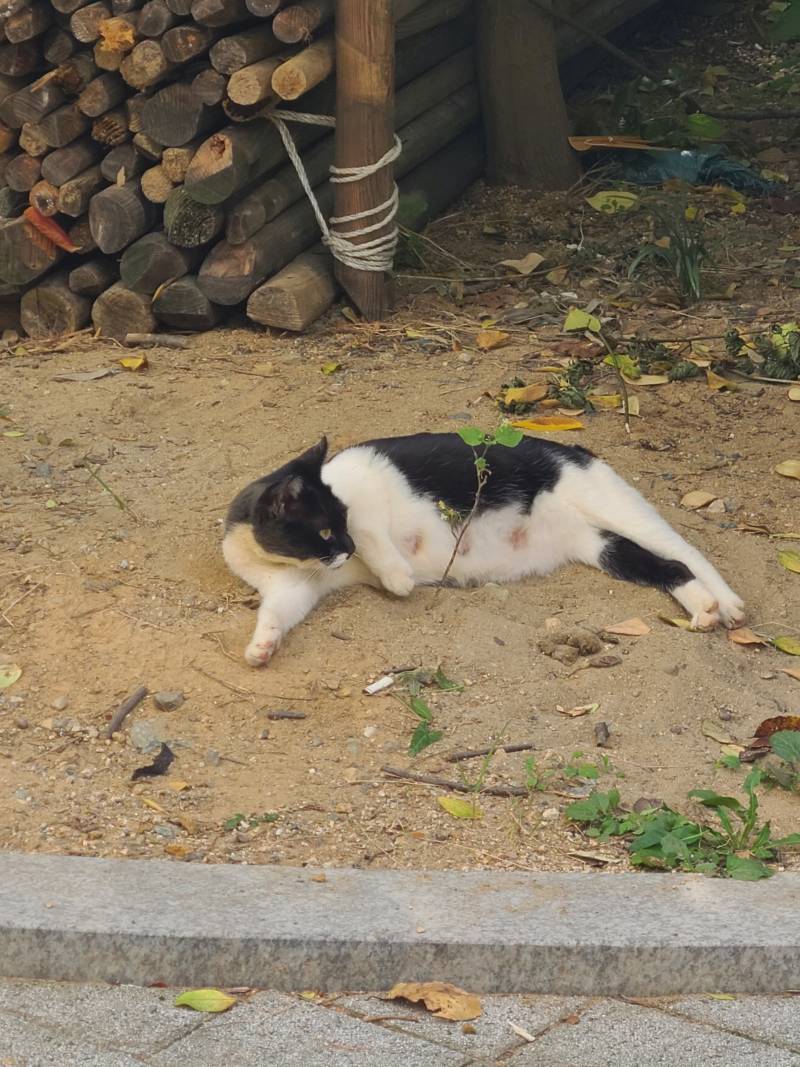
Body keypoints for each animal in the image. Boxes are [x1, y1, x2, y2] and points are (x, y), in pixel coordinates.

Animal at [224, 428, 746, 661]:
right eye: (327, 533)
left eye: (342, 522)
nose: (346, 549)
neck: (262, 551)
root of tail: (574, 448)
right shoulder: (294, 586)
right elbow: (277, 611)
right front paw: (262, 645)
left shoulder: (367, 495)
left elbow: (376, 536)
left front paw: (397, 578)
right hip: (600, 546)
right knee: (670, 569)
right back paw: (705, 609)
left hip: (615, 508)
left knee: (685, 550)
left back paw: (729, 603)